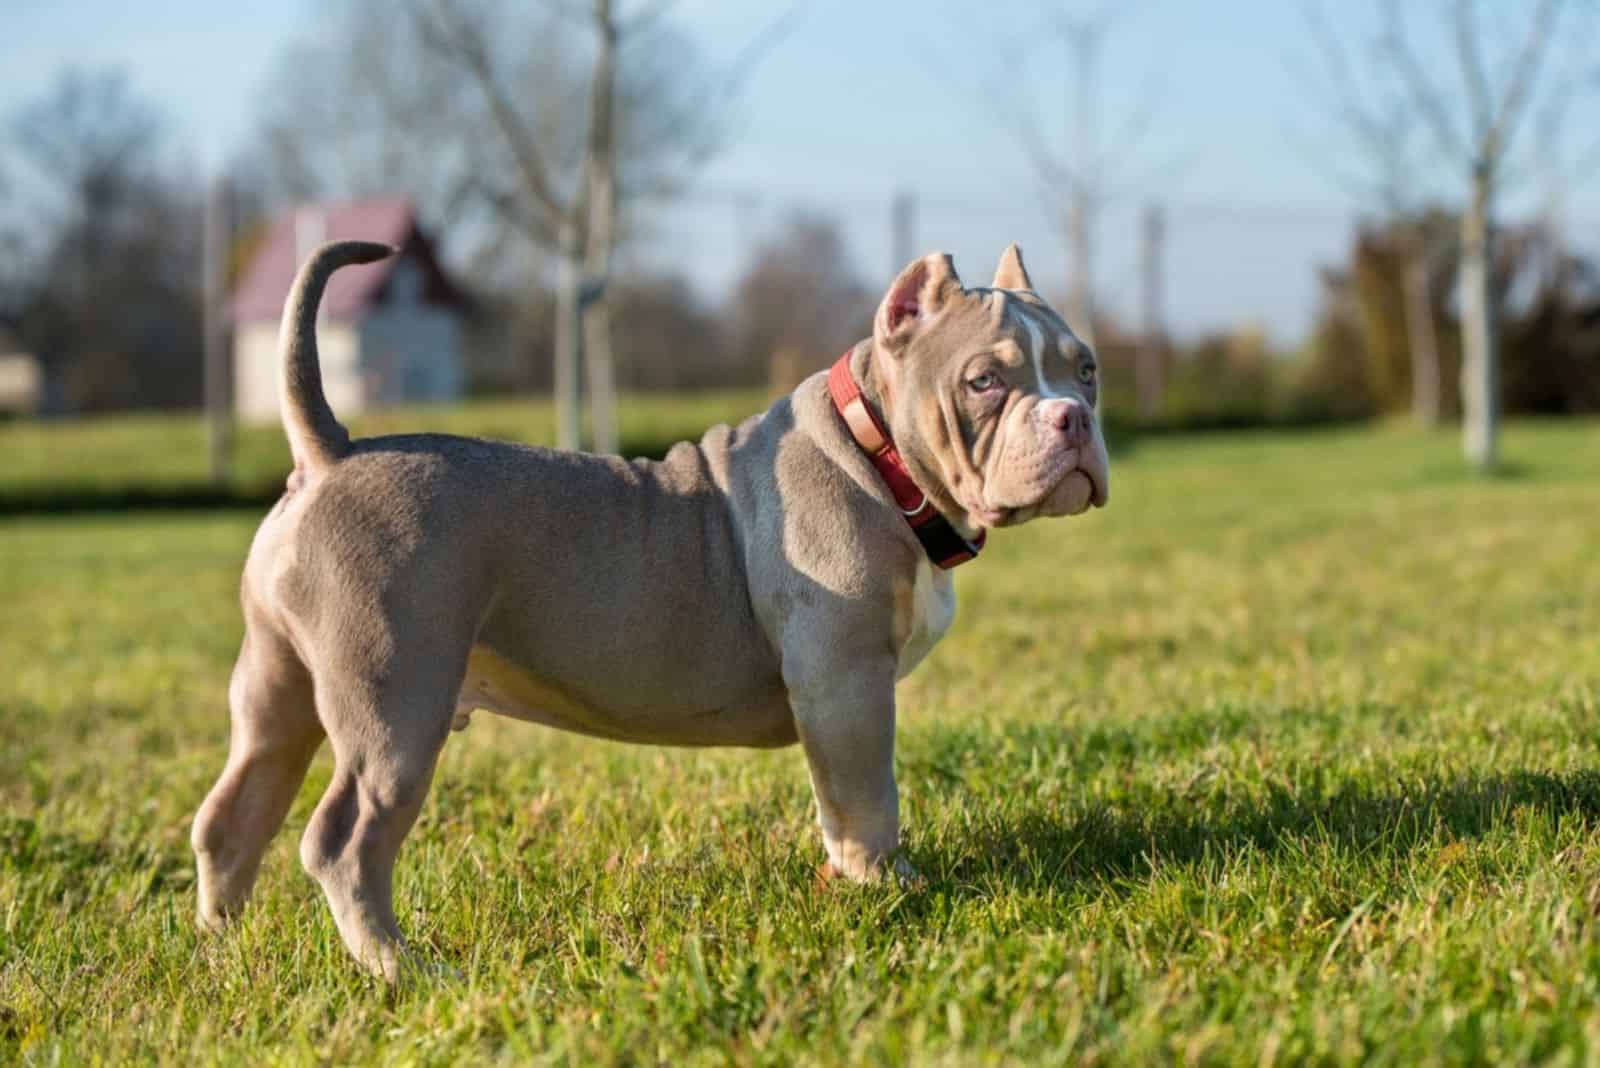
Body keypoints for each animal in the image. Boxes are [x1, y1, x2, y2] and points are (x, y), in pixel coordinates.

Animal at [190, 238, 1113, 978]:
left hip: (277, 692)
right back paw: (399, 968)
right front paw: (884, 886)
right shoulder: (846, 685)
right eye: (984, 381)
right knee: (343, 843)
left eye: (1087, 368)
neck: (880, 457)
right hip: (395, 708)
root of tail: (331, 453)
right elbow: (866, 796)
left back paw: (226, 947)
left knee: (232, 816)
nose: (1073, 418)